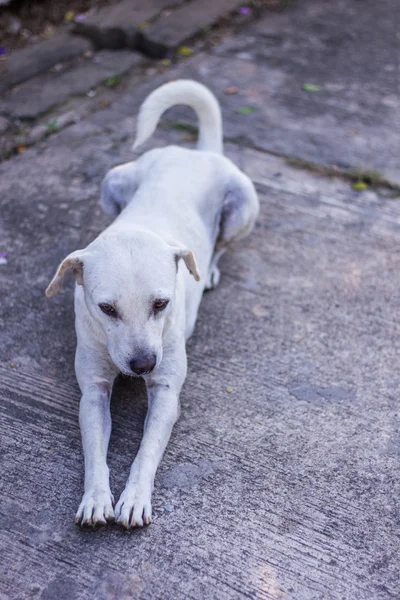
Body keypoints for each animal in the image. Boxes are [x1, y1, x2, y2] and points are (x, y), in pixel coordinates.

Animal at [46, 78, 260, 524]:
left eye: (161, 304)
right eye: (107, 309)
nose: (144, 364)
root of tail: (197, 152)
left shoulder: (165, 391)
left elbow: (146, 452)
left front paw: (133, 498)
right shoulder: (93, 390)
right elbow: (95, 452)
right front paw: (96, 498)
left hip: (243, 207)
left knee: (222, 244)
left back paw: (210, 270)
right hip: (112, 182)